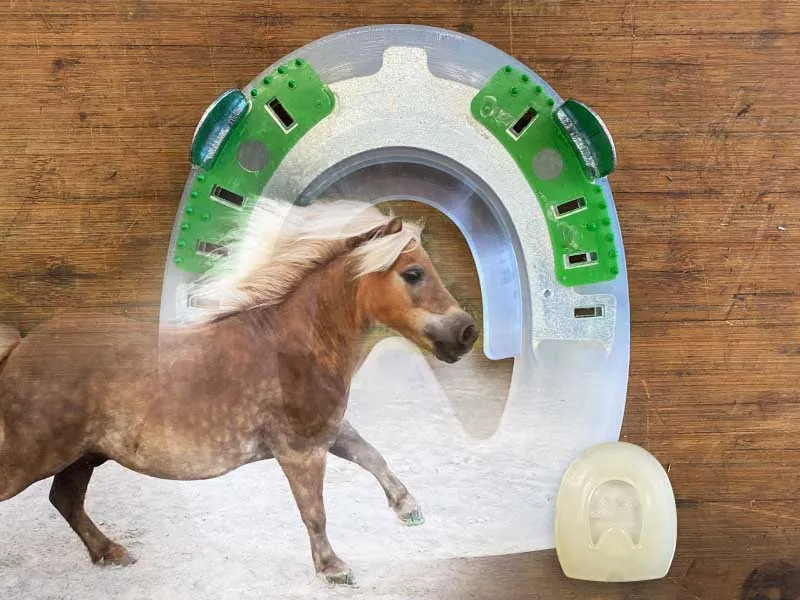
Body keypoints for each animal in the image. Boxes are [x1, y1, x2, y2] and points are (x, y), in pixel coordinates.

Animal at [0, 199, 478, 585]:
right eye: (413, 273)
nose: (467, 333)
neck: (292, 344)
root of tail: (20, 348)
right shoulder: (300, 450)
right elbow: (315, 510)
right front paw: (333, 568)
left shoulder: (326, 431)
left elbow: (371, 455)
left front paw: (407, 508)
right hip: (32, 458)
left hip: (85, 455)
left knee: (65, 498)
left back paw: (111, 552)